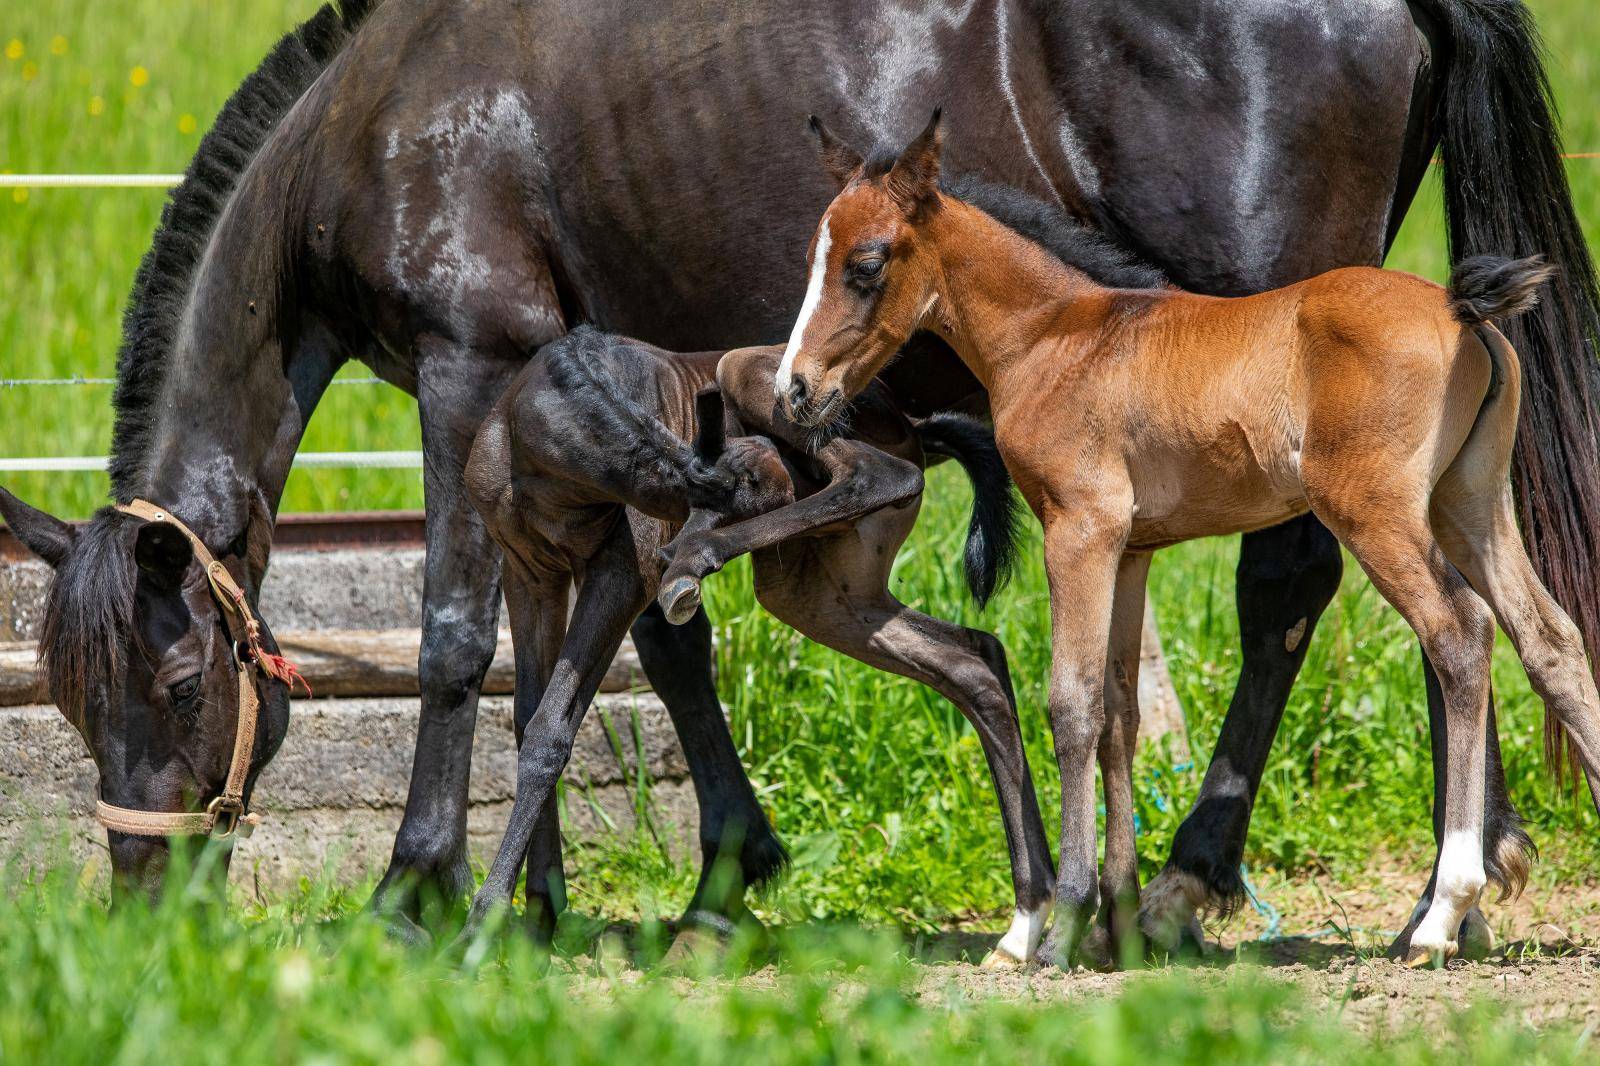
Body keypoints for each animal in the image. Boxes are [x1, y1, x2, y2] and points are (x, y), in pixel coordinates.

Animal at [457, 328, 1049, 947]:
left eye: (757, 501)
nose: (674, 560)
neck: (545, 419)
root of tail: (911, 424)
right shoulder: (528, 572)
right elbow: (528, 718)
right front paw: (535, 915)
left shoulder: (621, 571)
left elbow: (552, 727)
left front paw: (484, 923)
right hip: (823, 595)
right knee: (973, 661)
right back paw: (1034, 910)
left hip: (749, 380)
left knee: (881, 475)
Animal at [777, 112, 1600, 966]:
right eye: (813, 258)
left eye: (866, 264)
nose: (795, 390)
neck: (1056, 337)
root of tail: (1459, 309)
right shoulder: (1131, 550)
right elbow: (1119, 715)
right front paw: (1119, 924)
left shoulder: (1079, 529)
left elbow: (1072, 705)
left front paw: (1056, 924)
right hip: (1468, 505)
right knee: (1549, 639)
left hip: (1378, 513)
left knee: (1460, 634)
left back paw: (1442, 912)